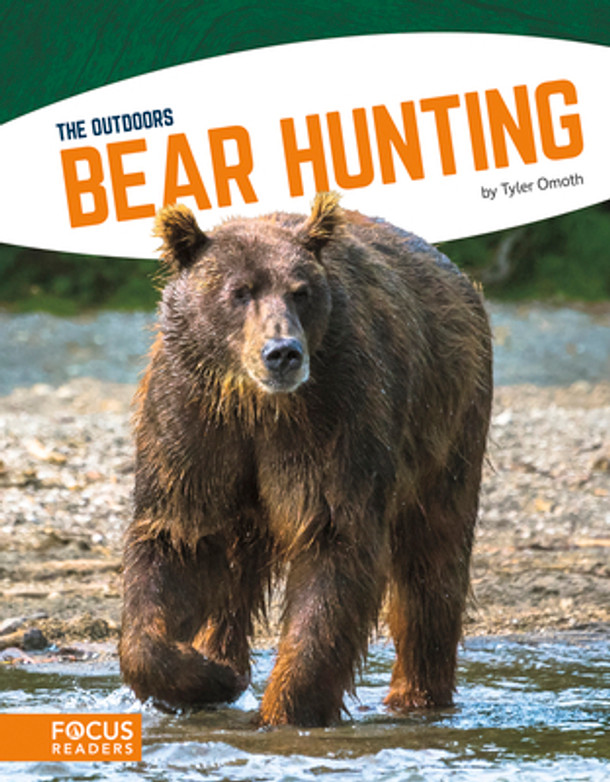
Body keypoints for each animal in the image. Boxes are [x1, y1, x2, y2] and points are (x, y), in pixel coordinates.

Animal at [119, 192, 492, 727]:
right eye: (239, 292)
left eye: (301, 291)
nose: (283, 352)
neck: (257, 405)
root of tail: (461, 280)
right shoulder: (193, 420)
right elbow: (176, 539)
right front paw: (208, 676)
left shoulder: (336, 415)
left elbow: (333, 542)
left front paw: (285, 711)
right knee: (235, 573)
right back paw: (223, 658)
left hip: (448, 424)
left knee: (432, 565)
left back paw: (416, 697)